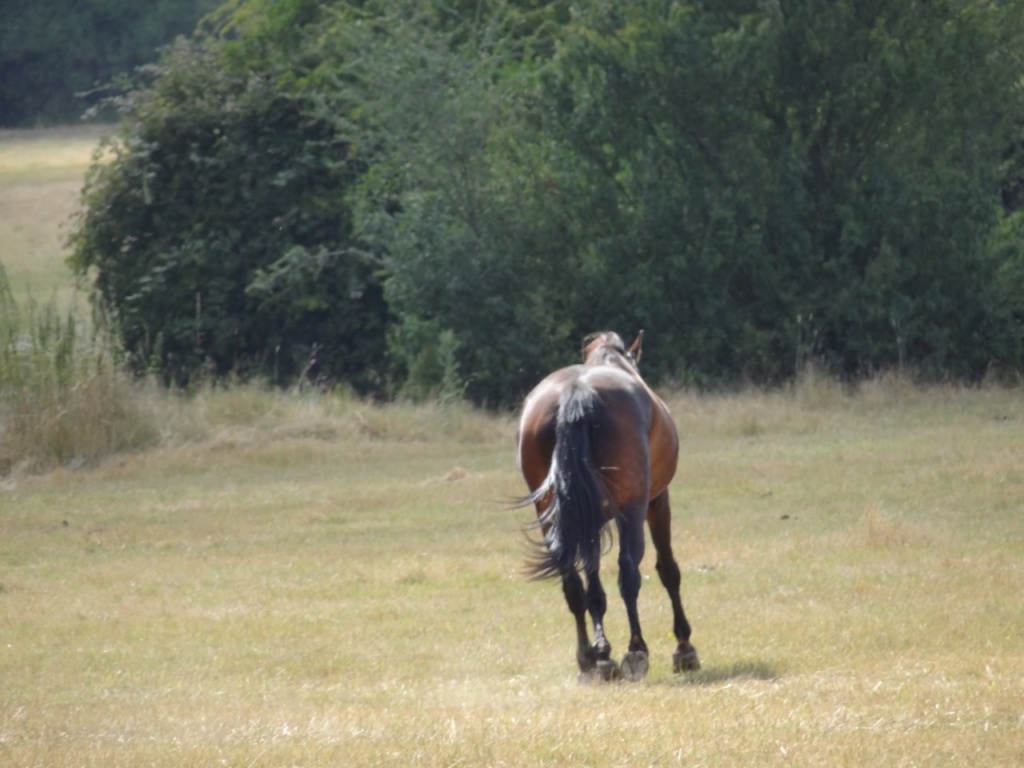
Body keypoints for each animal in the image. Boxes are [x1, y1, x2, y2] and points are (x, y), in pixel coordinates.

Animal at [516, 333, 700, 684]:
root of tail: (577, 392)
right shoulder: (657, 501)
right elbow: (668, 570)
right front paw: (684, 648)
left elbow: (592, 581)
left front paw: (601, 649)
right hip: (633, 508)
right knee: (629, 572)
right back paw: (636, 649)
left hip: (551, 514)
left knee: (573, 583)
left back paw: (592, 658)